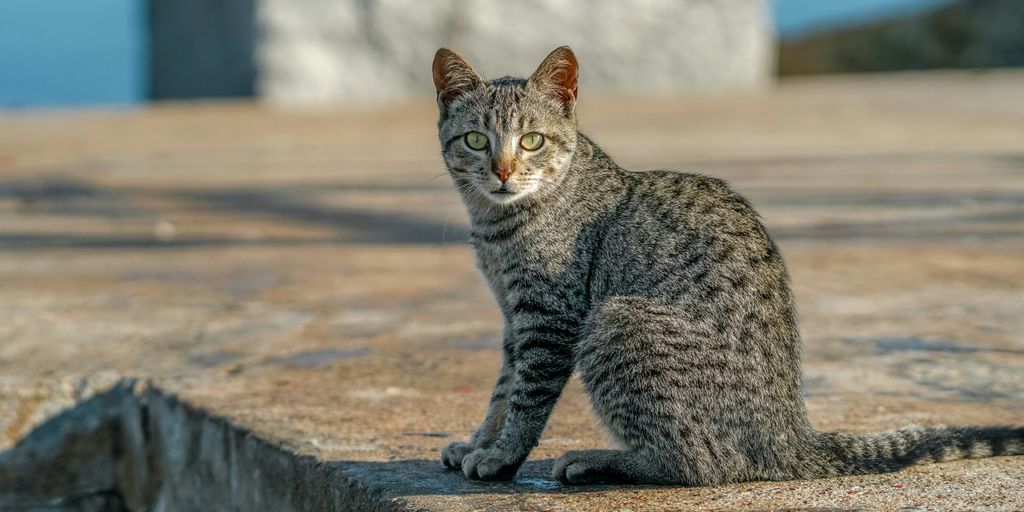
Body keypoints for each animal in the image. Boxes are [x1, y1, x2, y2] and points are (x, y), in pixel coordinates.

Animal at [428, 47, 1019, 483]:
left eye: (531, 140)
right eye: (476, 139)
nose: (503, 170)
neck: (499, 226)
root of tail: (791, 434)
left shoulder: (549, 317)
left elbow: (527, 398)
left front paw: (502, 455)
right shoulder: (514, 317)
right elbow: (503, 389)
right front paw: (481, 440)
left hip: (617, 321)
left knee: (705, 464)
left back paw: (603, 461)